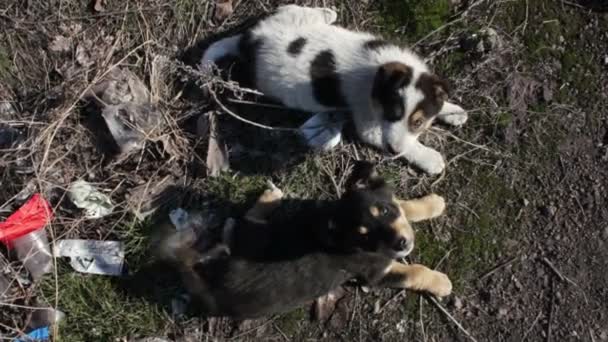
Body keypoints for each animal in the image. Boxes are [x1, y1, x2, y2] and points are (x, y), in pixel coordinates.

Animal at [157, 163, 452, 318]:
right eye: (365, 236)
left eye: (385, 211)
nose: (401, 244)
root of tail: (207, 281)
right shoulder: (376, 274)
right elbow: (414, 272)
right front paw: (441, 283)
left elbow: (405, 206)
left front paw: (431, 204)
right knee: (245, 221)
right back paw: (270, 197)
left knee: (241, 223)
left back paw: (269, 198)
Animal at [202, 5, 468, 175]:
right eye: (391, 113)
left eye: (417, 122)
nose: (392, 151)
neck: (376, 75)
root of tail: (247, 40)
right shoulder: (370, 128)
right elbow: (408, 146)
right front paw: (430, 158)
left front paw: (454, 111)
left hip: (286, 16)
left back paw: (326, 13)